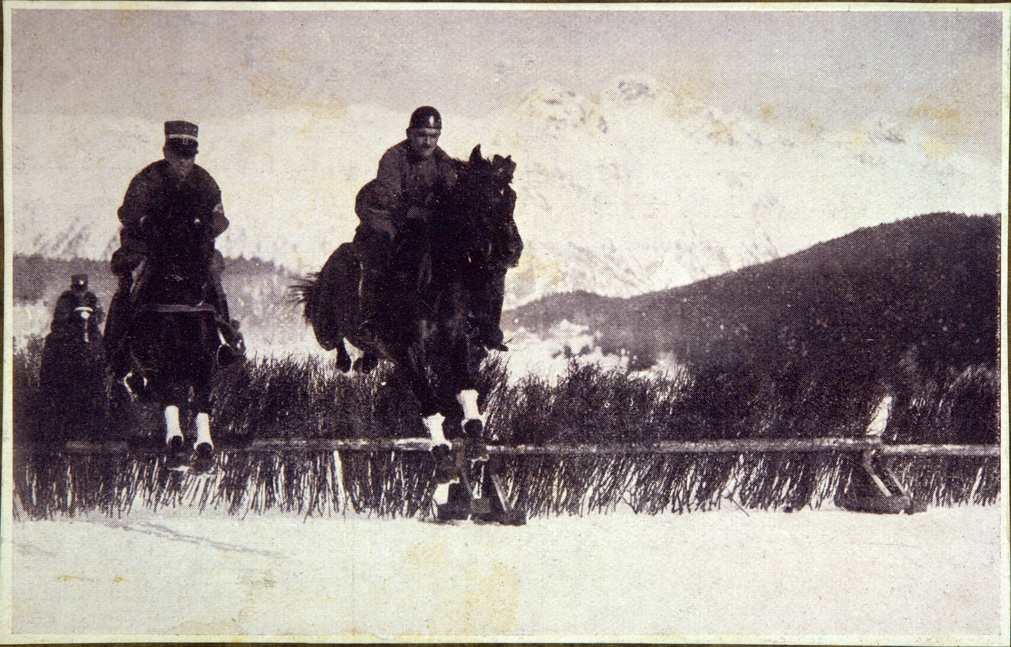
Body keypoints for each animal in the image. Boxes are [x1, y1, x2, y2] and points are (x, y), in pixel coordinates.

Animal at [296, 145, 521, 459]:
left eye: (511, 198)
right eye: (480, 198)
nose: (512, 251)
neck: (434, 281)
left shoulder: (454, 339)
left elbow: (466, 389)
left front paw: (475, 435)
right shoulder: (405, 349)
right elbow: (427, 399)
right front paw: (440, 448)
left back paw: (365, 362)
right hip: (325, 327)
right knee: (335, 342)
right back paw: (346, 361)